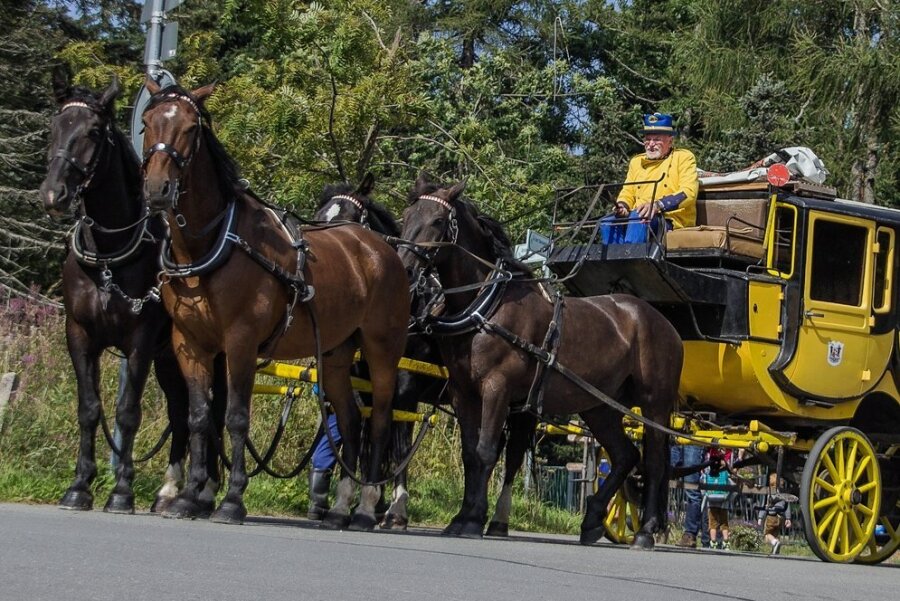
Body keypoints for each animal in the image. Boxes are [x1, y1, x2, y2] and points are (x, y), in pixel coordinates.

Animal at [141, 82, 408, 528]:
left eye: (192, 128)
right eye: (147, 122)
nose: (157, 188)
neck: (213, 243)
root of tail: (381, 249)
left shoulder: (241, 342)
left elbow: (235, 417)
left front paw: (232, 499)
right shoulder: (190, 344)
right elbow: (199, 418)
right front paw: (189, 496)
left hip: (381, 350)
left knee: (381, 421)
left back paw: (366, 507)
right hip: (336, 354)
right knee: (351, 421)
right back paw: (340, 507)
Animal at [314, 175, 536, 536]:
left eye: (350, 219)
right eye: (320, 216)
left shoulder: (404, 388)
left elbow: (398, 444)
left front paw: (392, 509)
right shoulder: (364, 385)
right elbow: (362, 438)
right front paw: (359, 504)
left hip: (522, 405)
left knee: (513, 454)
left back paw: (498, 519)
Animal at [398, 175, 680, 548]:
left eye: (438, 221)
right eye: (407, 216)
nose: (404, 268)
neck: (487, 304)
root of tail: (664, 322)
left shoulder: (498, 389)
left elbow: (487, 451)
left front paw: (473, 519)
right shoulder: (463, 392)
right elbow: (470, 454)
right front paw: (461, 518)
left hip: (654, 404)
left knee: (655, 463)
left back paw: (645, 531)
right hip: (599, 405)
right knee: (625, 456)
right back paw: (593, 520)